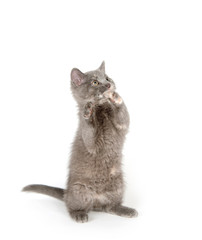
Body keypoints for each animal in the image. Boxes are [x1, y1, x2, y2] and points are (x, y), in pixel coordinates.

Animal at [22, 62, 138, 223]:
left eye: (107, 78)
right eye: (95, 82)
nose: (108, 85)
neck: (101, 110)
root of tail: (97, 200)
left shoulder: (122, 126)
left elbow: (124, 117)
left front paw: (115, 98)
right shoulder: (89, 140)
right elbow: (89, 135)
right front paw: (88, 112)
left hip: (118, 185)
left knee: (110, 207)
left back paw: (126, 210)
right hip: (79, 189)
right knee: (72, 206)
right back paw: (79, 215)